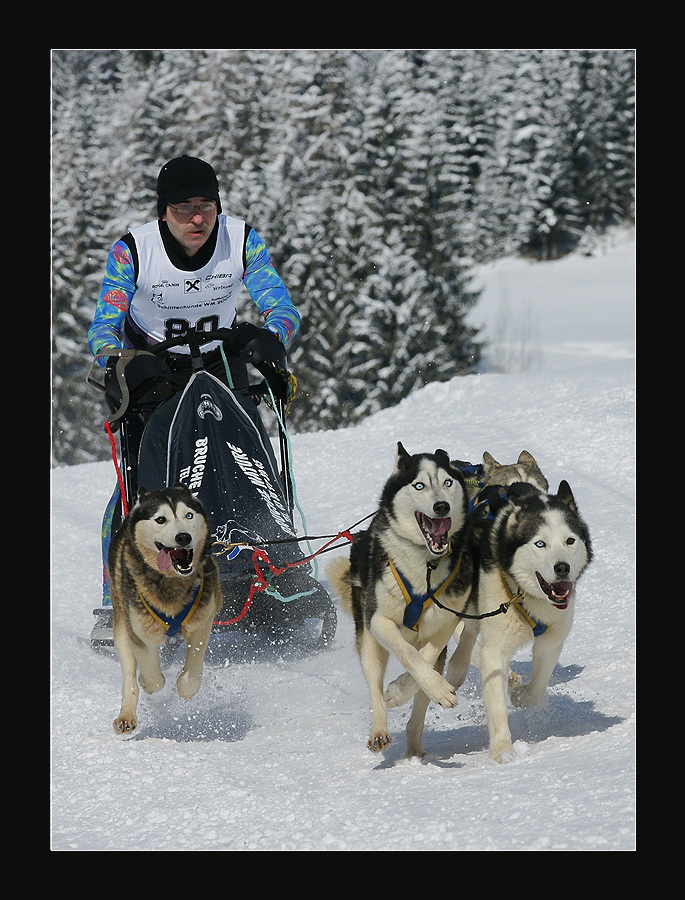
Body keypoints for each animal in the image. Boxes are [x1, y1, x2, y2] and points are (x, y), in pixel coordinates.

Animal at [109, 486, 222, 732]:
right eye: (161, 519)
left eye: (188, 515)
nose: (183, 537)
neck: (171, 584)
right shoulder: (141, 634)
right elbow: (153, 678)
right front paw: (147, 682)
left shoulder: (202, 623)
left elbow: (192, 673)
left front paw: (186, 688)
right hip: (122, 626)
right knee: (129, 676)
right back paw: (127, 715)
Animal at [328, 444, 476, 752]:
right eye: (419, 485)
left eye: (447, 482)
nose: (441, 506)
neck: (426, 563)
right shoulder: (379, 621)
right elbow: (409, 655)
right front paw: (396, 692)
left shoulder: (445, 623)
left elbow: (424, 661)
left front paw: (407, 690)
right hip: (369, 641)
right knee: (374, 683)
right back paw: (379, 730)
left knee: (420, 701)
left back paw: (415, 744)